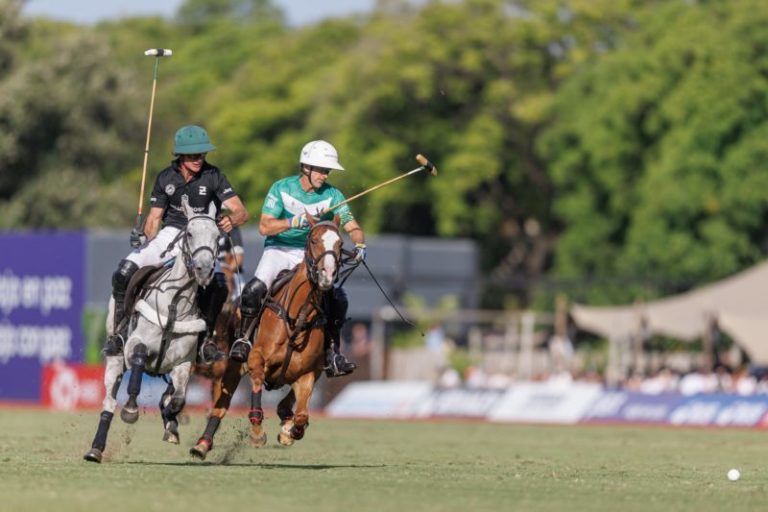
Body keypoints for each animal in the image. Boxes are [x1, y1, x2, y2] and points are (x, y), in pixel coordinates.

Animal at [85, 200, 220, 464]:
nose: (204, 269)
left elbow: (178, 399)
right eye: (189, 234)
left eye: (218, 236)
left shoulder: (183, 363)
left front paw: (171, 420)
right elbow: (138, 359)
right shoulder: (134, 345)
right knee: (109, 402)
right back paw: (95, 449)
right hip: (115, 359)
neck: (175, 302)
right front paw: (130, 409)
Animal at [246, 218, 342, 446]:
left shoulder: (307, 373)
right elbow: (256, 380)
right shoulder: (256, 357)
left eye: (341, 244)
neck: (297, 318)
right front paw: (257, 433)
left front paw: (290, 432)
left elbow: (301, 415)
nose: (327, 275)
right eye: (314, 240)